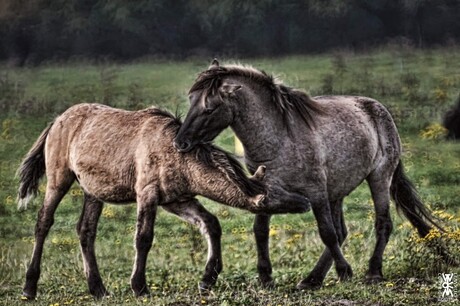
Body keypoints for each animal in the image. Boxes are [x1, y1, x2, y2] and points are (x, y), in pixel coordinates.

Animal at [17, 103, 310, 298]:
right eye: (278, 191)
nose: (306, 201)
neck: (175, 153)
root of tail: (57, 121)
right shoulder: (147, 194)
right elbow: (143, 238)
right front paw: (139, 286)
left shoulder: (177, 200)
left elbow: (210, 224)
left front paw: (208, 279)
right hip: (58, 180)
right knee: (43, 223)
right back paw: (29, 287)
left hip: (93, 193)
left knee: (85, 231)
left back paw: (98, 289)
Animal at [173, 59, 446, 290]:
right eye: (191, 99)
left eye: (210, 108)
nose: (180, 143)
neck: (279, 138)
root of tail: (378, 109)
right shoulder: (265, 190)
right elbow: (261, 230)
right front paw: (265, 277)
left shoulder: (316, 191)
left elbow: (326, 232)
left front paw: (345, 271)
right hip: (337, 191)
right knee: (342, 231)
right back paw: (312, 279)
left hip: (378, 177)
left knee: (381, 224)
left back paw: (372, 273)